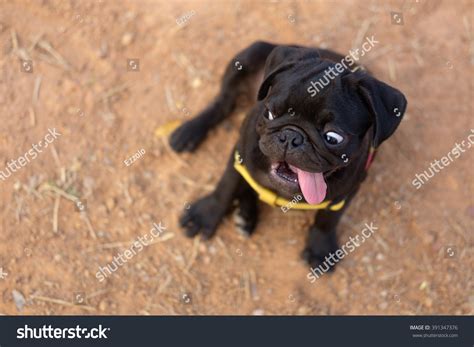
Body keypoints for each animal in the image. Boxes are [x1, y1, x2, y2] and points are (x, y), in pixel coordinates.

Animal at [168, 42, 406, 272]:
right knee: (222, 104)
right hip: (247, 56)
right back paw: (189, 132)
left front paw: (320, 248)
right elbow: (226, 187)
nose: (291, 136)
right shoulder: (240, 156)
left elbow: (327, 220)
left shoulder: (345, 193)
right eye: (270, 113)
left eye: (333, 137)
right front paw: (205, 215)